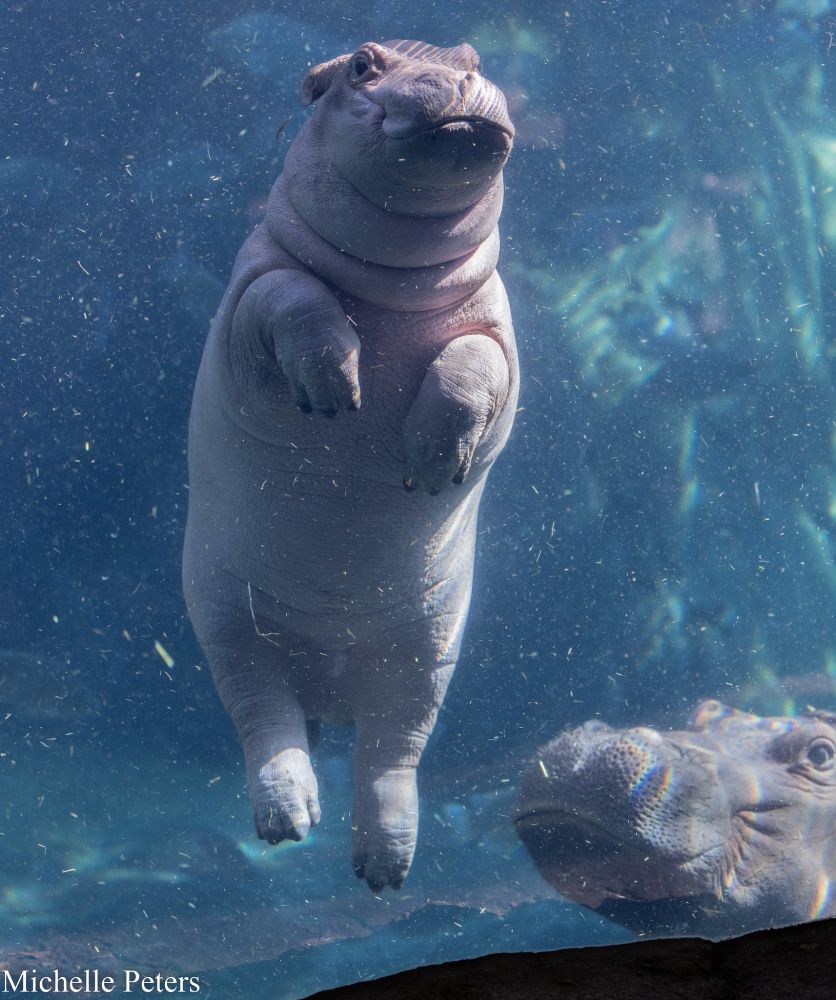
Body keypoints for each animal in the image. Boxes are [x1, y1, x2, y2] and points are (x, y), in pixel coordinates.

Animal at [182, 40, 517, 892]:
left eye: (471, 55)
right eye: (364, 63)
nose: (460, 79)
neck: (398, 286)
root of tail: (328, 690)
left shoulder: (498, 331)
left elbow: (472, 364)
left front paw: (432, 464)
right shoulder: (252, 291)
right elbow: (296, 298)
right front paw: (337, 394)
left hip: (426, 647)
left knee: (393, 751)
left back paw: (383, 869)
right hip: (230, 624)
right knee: (264, 721)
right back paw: (288, 824)